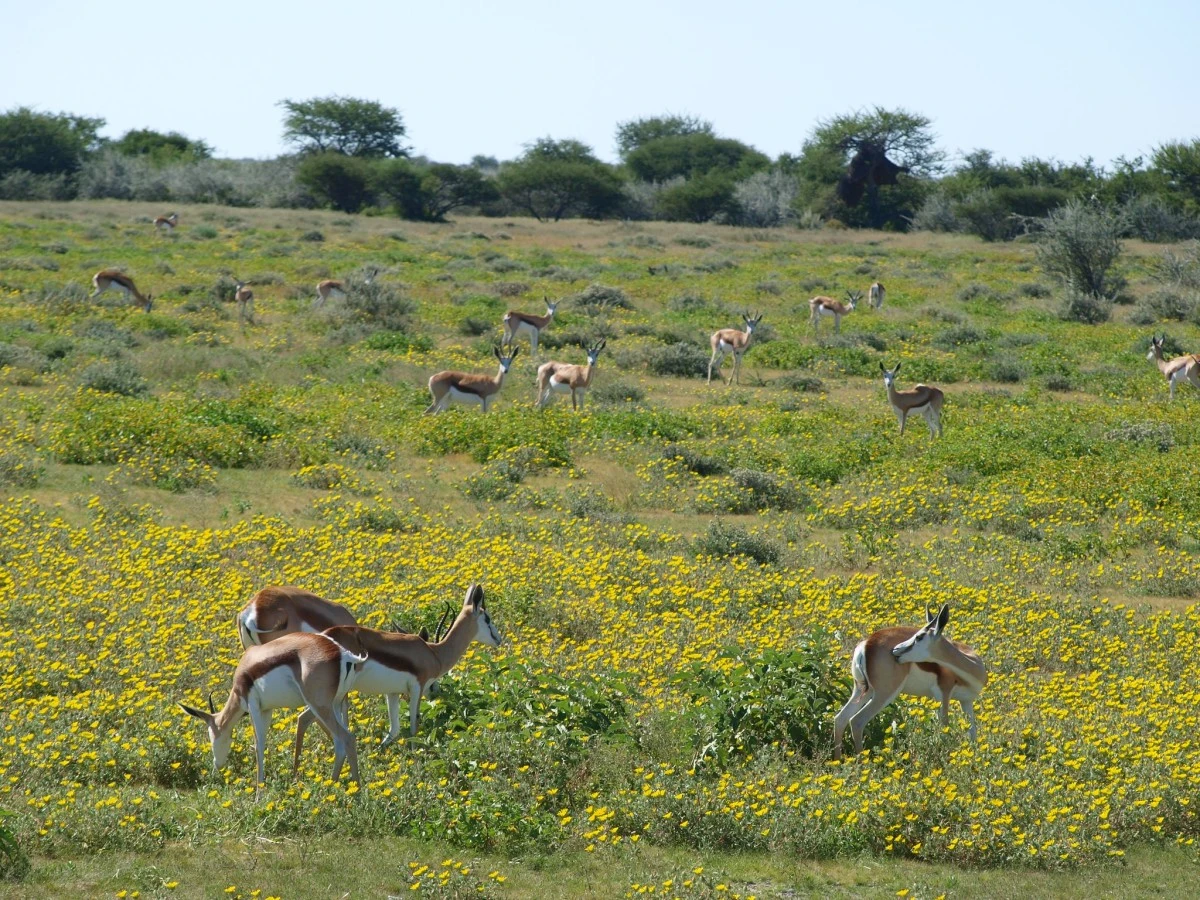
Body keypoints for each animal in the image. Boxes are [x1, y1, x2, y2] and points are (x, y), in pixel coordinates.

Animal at [178, 628, 364, 792]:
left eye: (211, 736)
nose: (217, 765)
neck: (246, 668)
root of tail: (343, 654)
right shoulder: (266, 710)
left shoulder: (253, 706)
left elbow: (258, 746)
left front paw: (258, 796)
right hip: (336, 704)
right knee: (339, 742)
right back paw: (333, 787)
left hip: (320, 706)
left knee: (347, 738)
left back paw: (356, 794)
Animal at [830, 607, 988, 763]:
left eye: (919, 637)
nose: (895, 650)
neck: (973, 665)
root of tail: (866, 644)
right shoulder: (943, 694)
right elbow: (945, 727)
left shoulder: (966, 700)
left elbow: (972, 733)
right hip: (884, 694)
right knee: (856, 721)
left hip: (862, 690)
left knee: (840, 719)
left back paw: (837, 762)